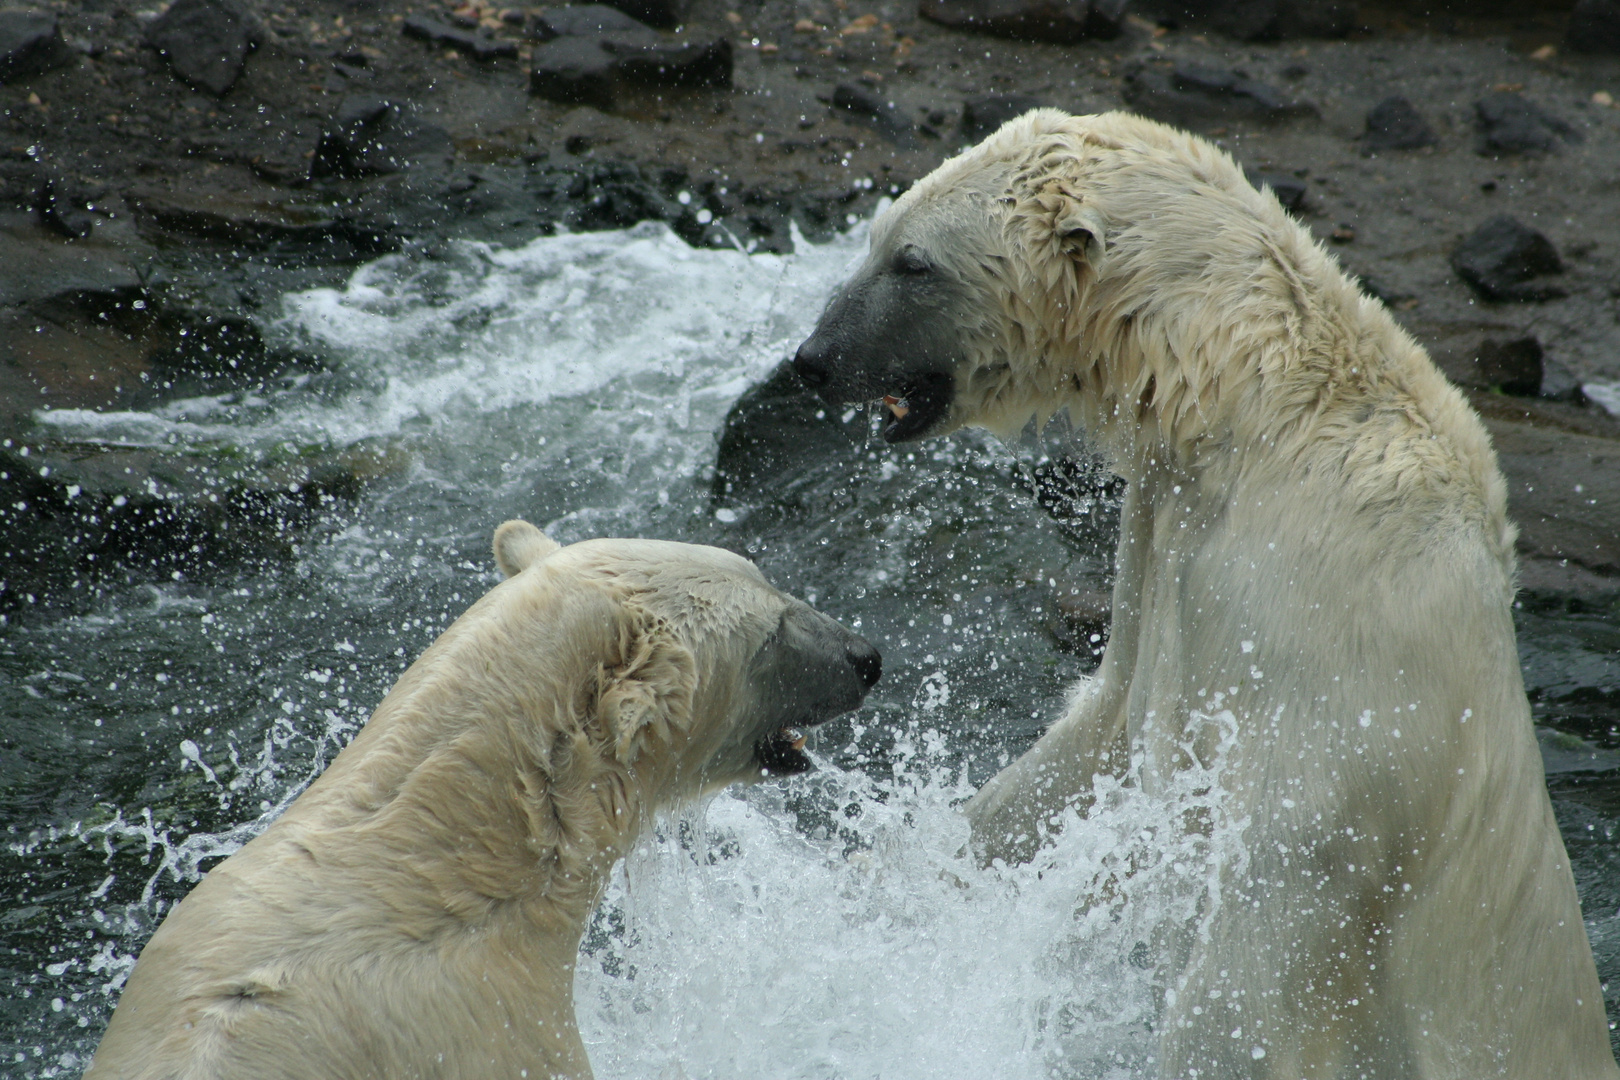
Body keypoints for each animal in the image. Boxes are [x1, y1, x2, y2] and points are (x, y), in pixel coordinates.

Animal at [793, 111, 1620, 1080]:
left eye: (912, 262)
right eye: (876, 238)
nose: (814, 360)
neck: (1258, 407)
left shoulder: (1325, 604)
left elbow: (1282, 875)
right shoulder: (1166, 532)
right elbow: (1101, 733)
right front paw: (892, 883)